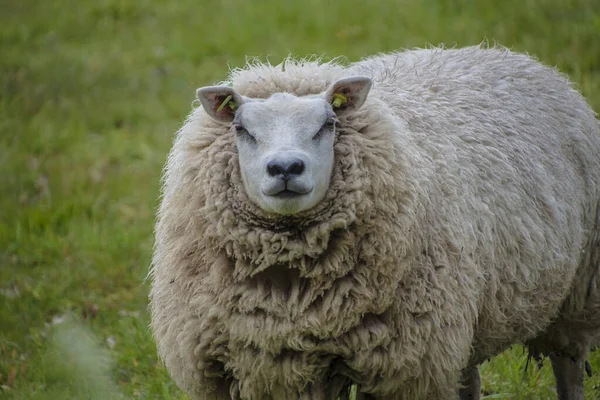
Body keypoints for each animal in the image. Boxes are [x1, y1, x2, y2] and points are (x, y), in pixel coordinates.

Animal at [149, 45, 600, 398]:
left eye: (328, 124)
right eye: (242, 129)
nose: (285, 168)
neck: (293, 296)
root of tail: (505, 54)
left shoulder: (393, 365)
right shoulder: (254, 367)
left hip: (576, 294)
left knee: (569, 367)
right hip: (461, 321)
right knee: (468, 379)